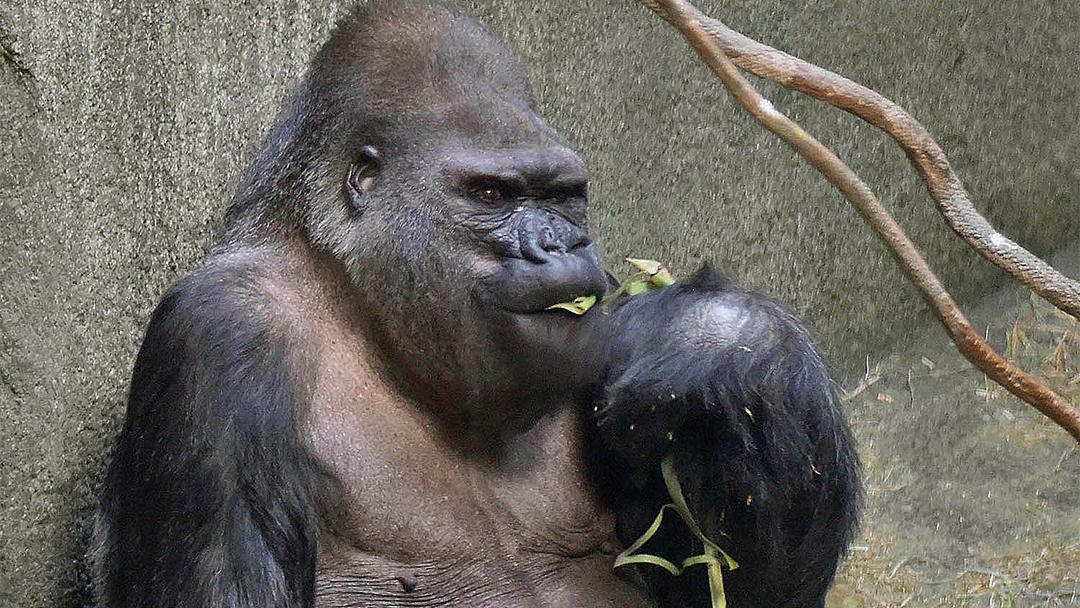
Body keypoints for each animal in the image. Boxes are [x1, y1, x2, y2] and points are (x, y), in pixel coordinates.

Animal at [88, 2, 855, 604]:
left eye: (562, 196)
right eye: (491, 194)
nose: (554, 246)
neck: (370, 319)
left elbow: (732, 587)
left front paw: (718, 339)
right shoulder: (223, 332)